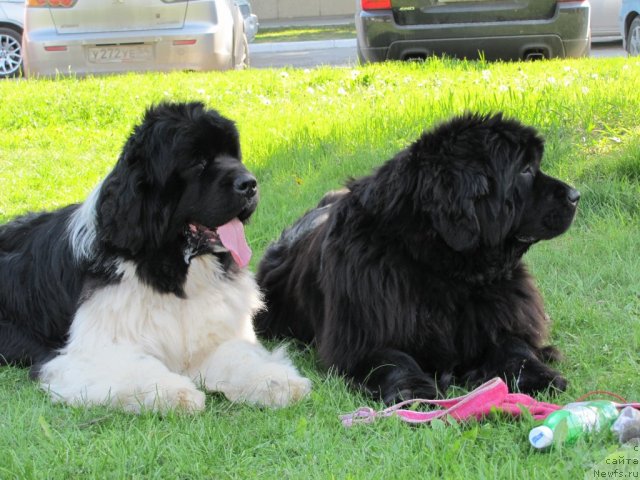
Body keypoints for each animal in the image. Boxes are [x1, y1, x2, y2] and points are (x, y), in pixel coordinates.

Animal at [0, 100, 310, 412]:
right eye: (198, 162)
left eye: (233, 155)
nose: (250, 183)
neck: (172, 272)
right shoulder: (85, 353)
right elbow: (137, 365)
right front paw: (176, 392)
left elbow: (239, 355)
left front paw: (276, 381)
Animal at [255, 112, 580, 404]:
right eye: (525, 170)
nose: (575, 195)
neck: (445, 271)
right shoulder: (366, 336)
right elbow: (394, 360)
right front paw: (412, 391)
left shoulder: (499, 318)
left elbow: (514, 347)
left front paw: (539, 376)